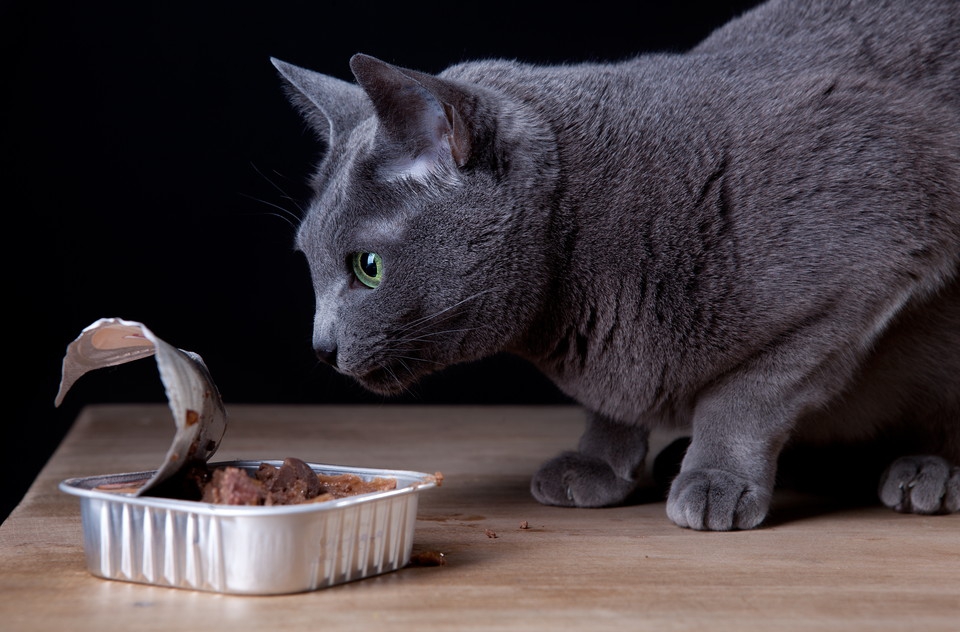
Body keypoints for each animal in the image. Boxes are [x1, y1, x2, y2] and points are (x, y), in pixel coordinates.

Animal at [272, 0, 960, 532]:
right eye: (307, 260)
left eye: (367, 267)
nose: (320, 347)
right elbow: (613, 406)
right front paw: (599, 465)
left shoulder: (871, 269)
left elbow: (747, 393)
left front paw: (714, 480)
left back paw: (927, 473)